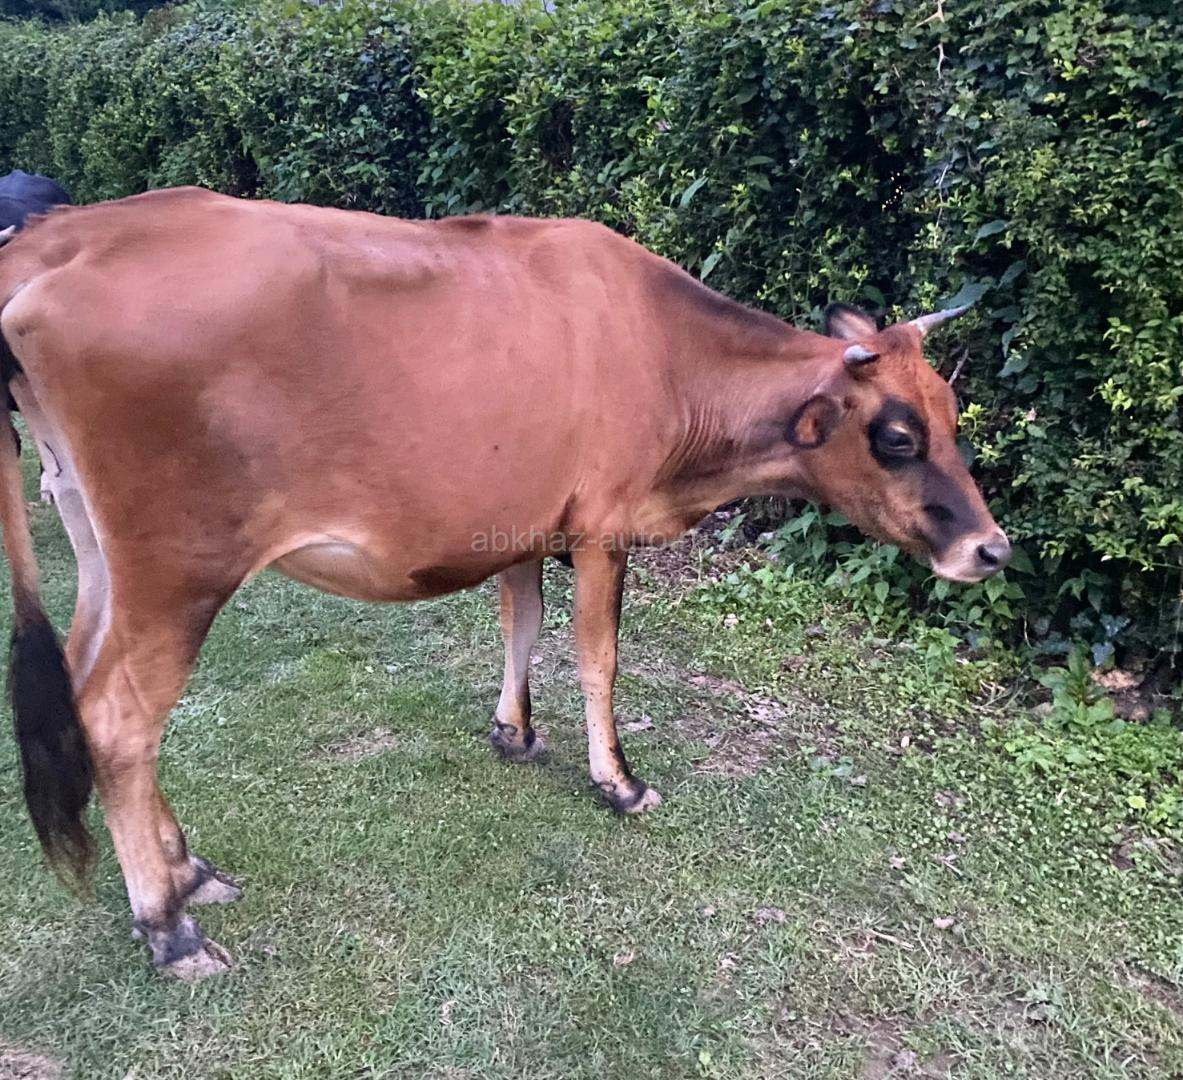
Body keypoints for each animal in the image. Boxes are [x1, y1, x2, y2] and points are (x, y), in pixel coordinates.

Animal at [0, 188, 1009, 980]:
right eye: (895, 436)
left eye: (952, 414)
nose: (991, 550)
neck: (665, 353)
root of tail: (58, 240)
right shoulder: (602, 528)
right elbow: (597, 660)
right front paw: (618, 782)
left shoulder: (520, 519)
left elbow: (520, 625)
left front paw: (513, 733)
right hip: (179, 567)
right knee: (120, 722)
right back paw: (167, 926)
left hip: (96, 542)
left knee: (85, 688)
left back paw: (188, 871)